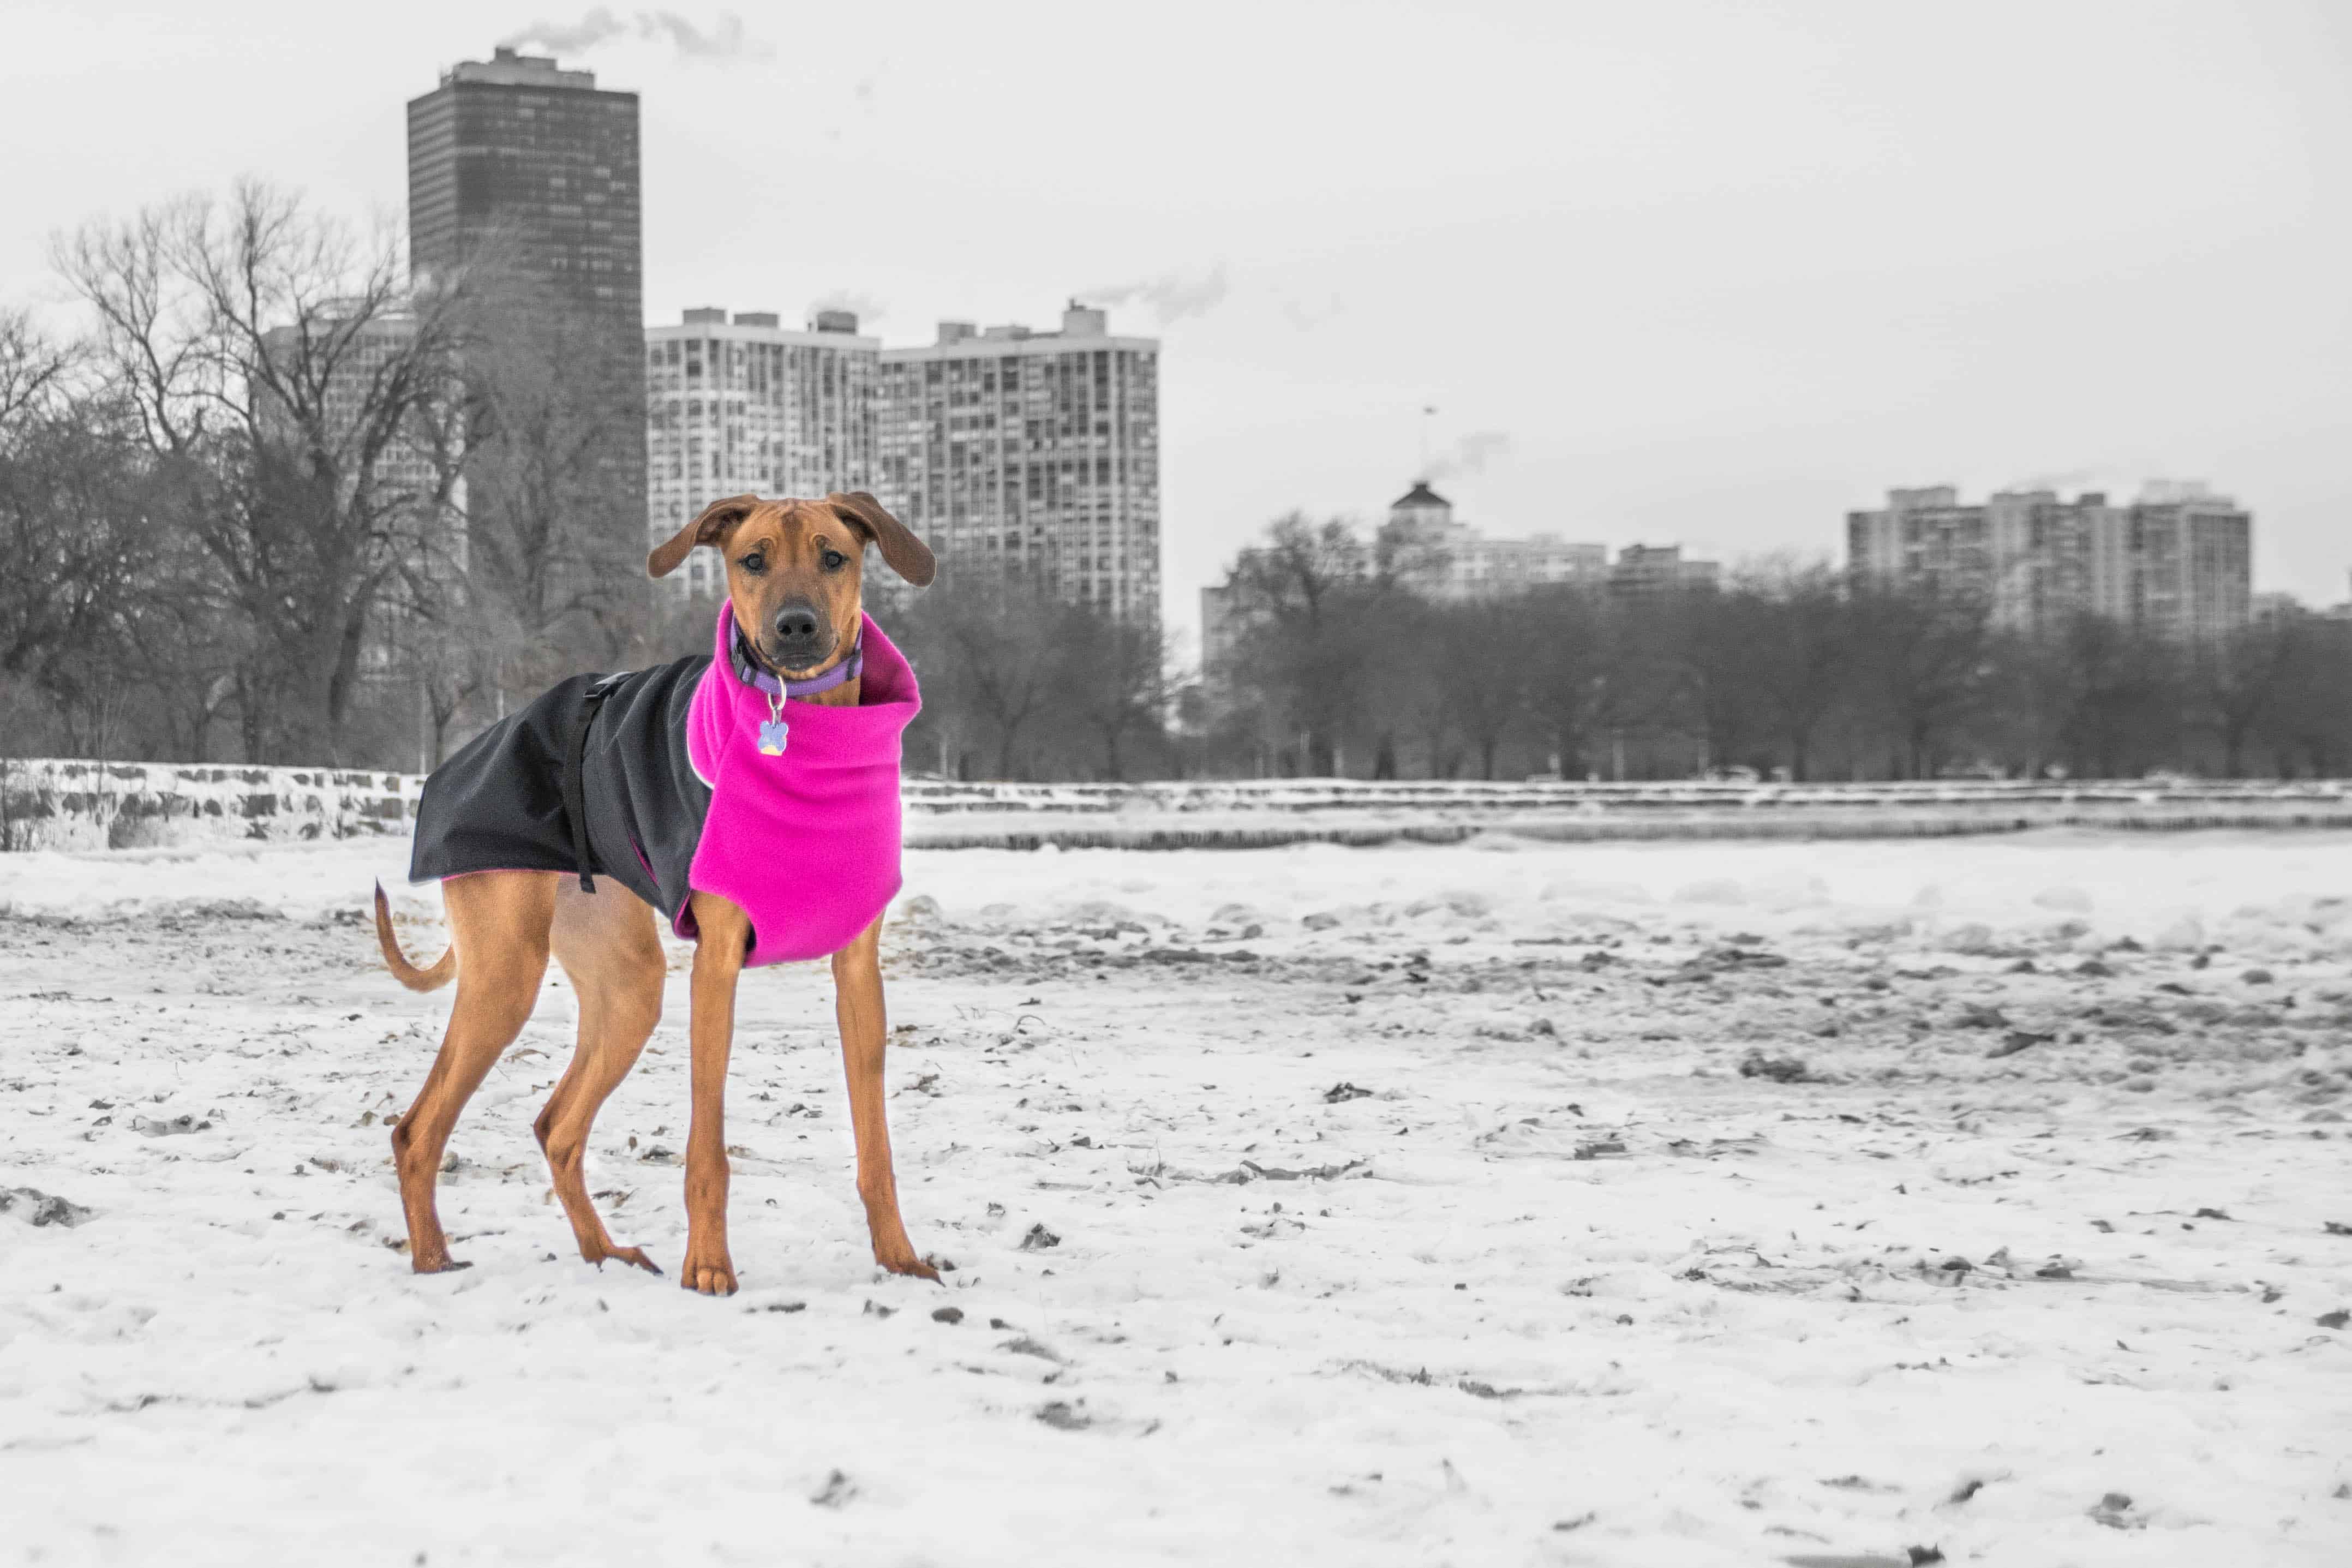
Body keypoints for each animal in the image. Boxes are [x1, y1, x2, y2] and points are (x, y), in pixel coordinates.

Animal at [376, 493, 936, 1297]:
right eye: (752, 559)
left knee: (557, 1127)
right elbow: (707, 1148)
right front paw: (708, 1267)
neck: (805, 736)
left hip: (627, 986)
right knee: (416, 1129)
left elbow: (875, 1146)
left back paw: (603, 1252)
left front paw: (899, 1259)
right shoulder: (718, 964)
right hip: (504, 975)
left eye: (834, 557)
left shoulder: (858, 972)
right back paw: (433, 1263)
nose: (795, 626)